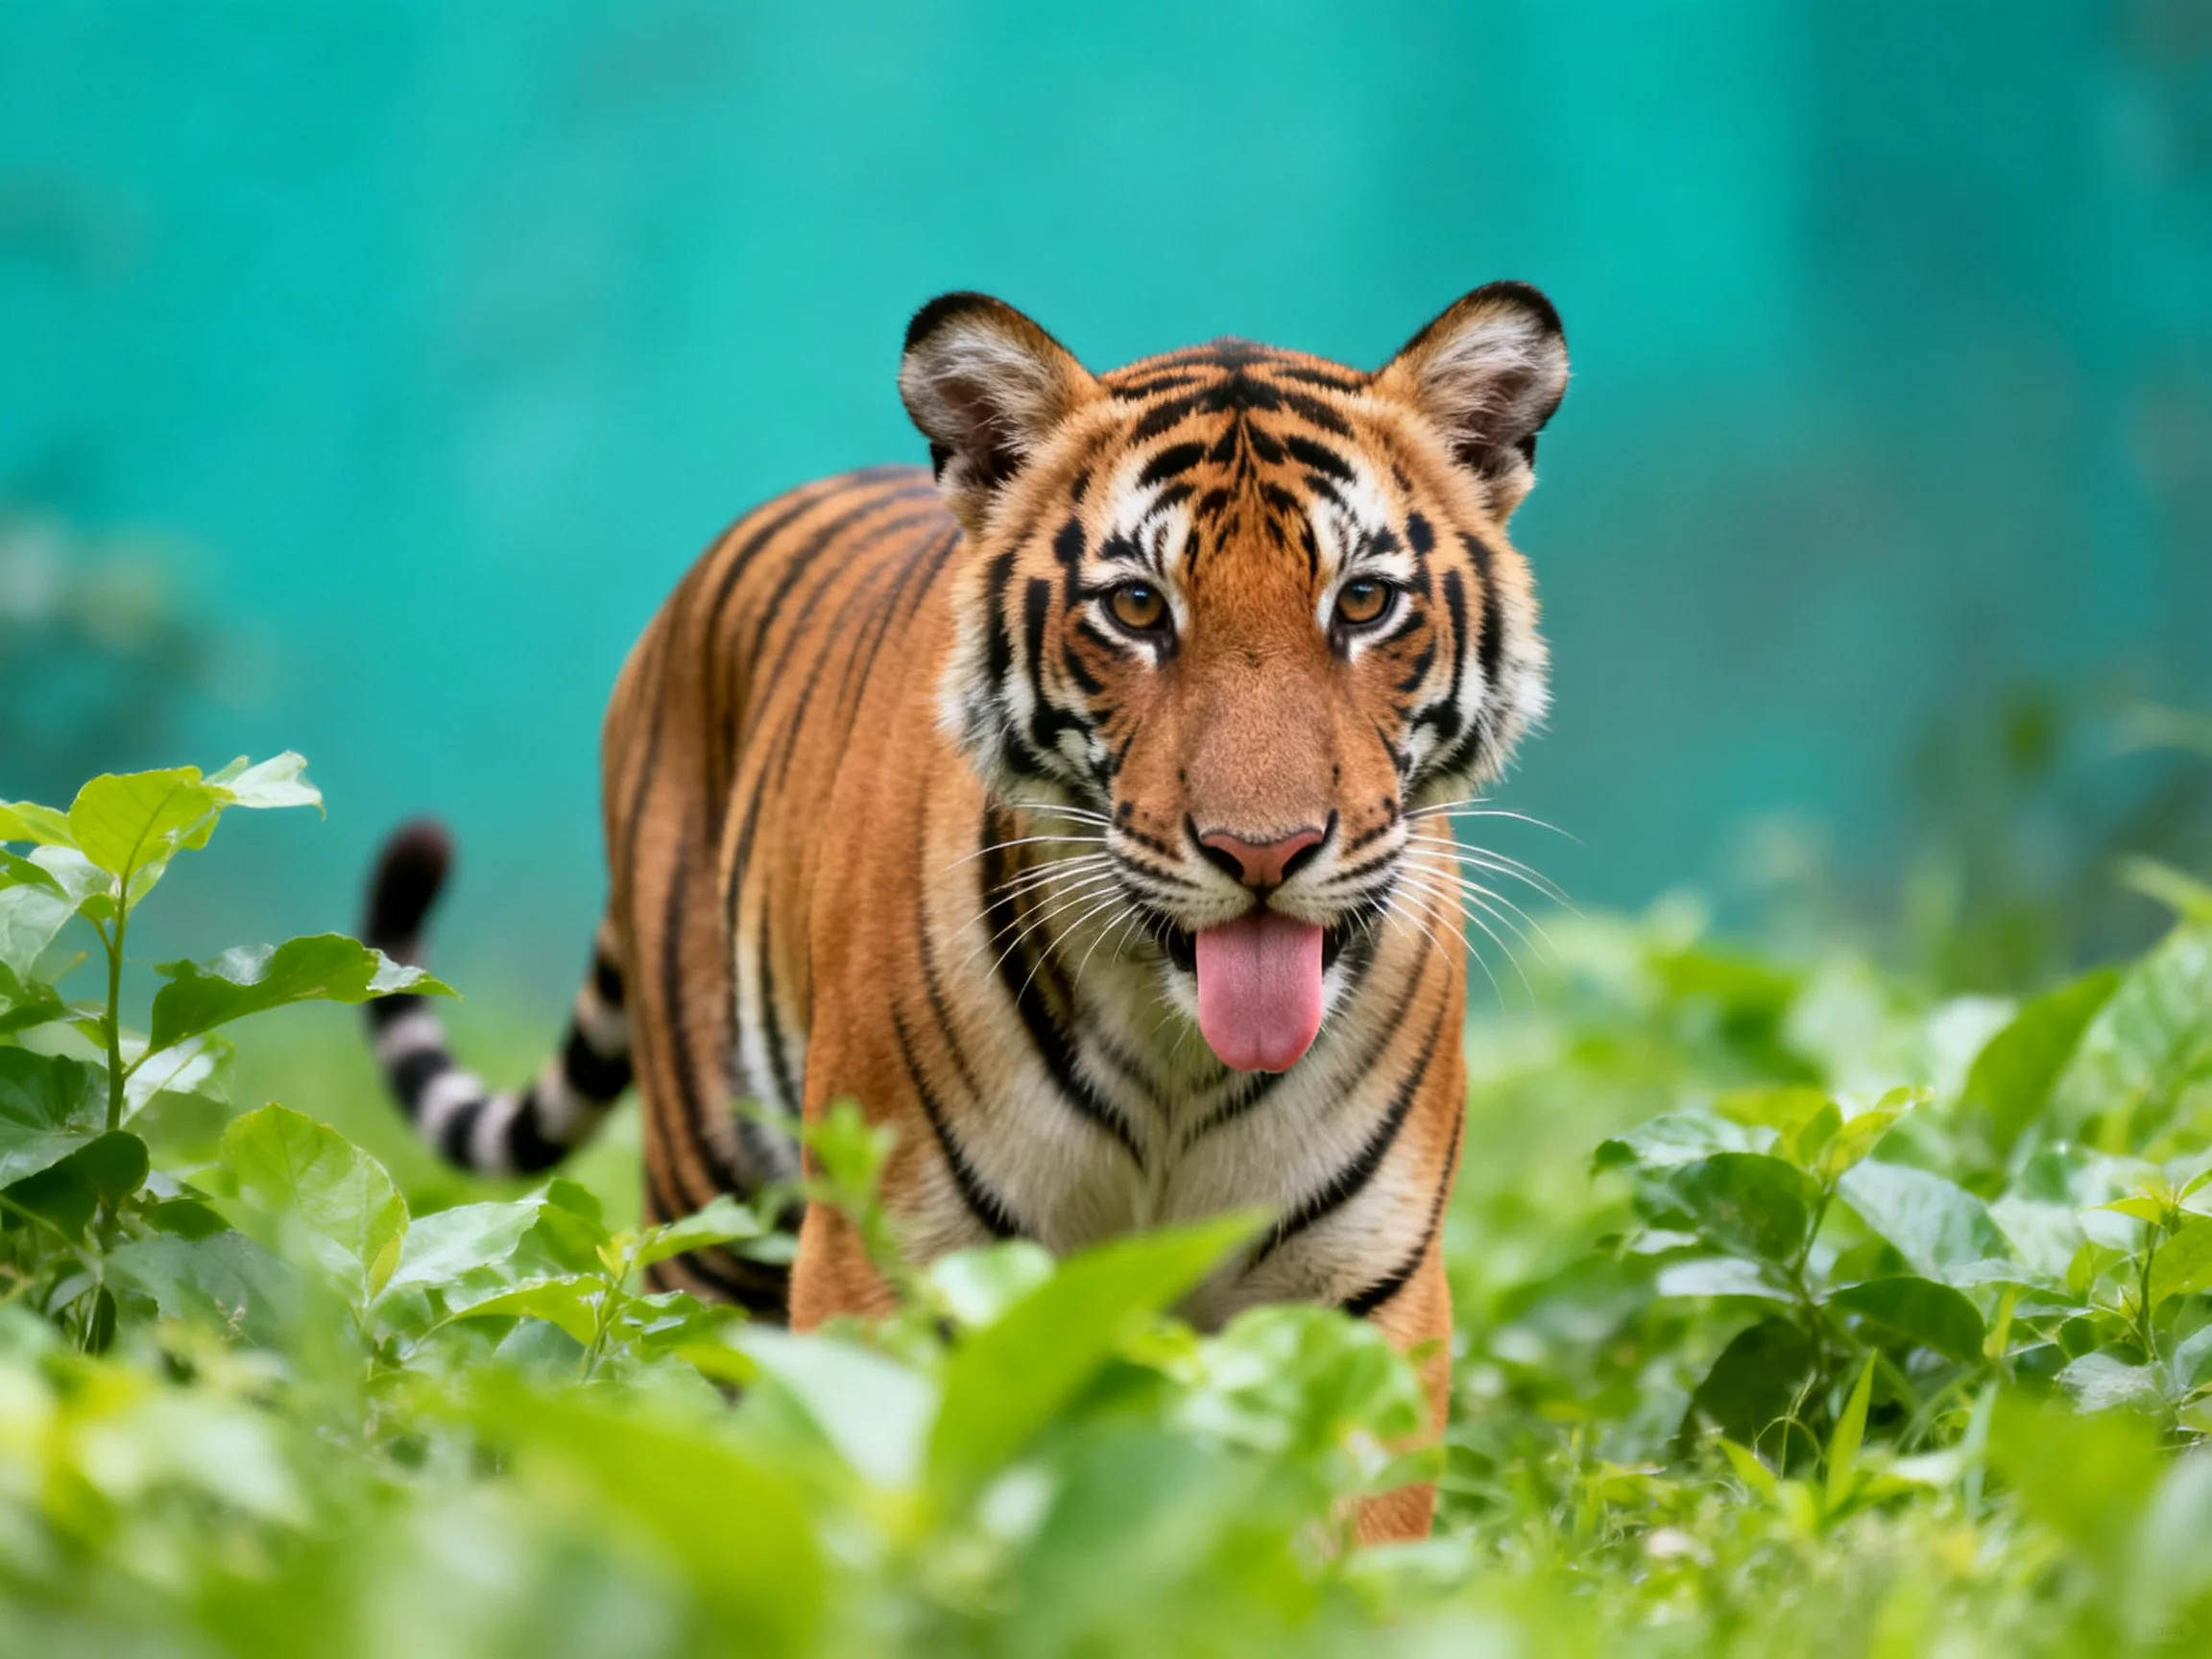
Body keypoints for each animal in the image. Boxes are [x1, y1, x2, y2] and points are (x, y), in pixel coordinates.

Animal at [361, 282, 1568, 1541]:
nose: (1263, 851)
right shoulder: (884, 1263)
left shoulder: (1359, 1293)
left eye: (1365, 602)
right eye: (1138, 608)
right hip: (714, 1206)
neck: (1179, 1056)